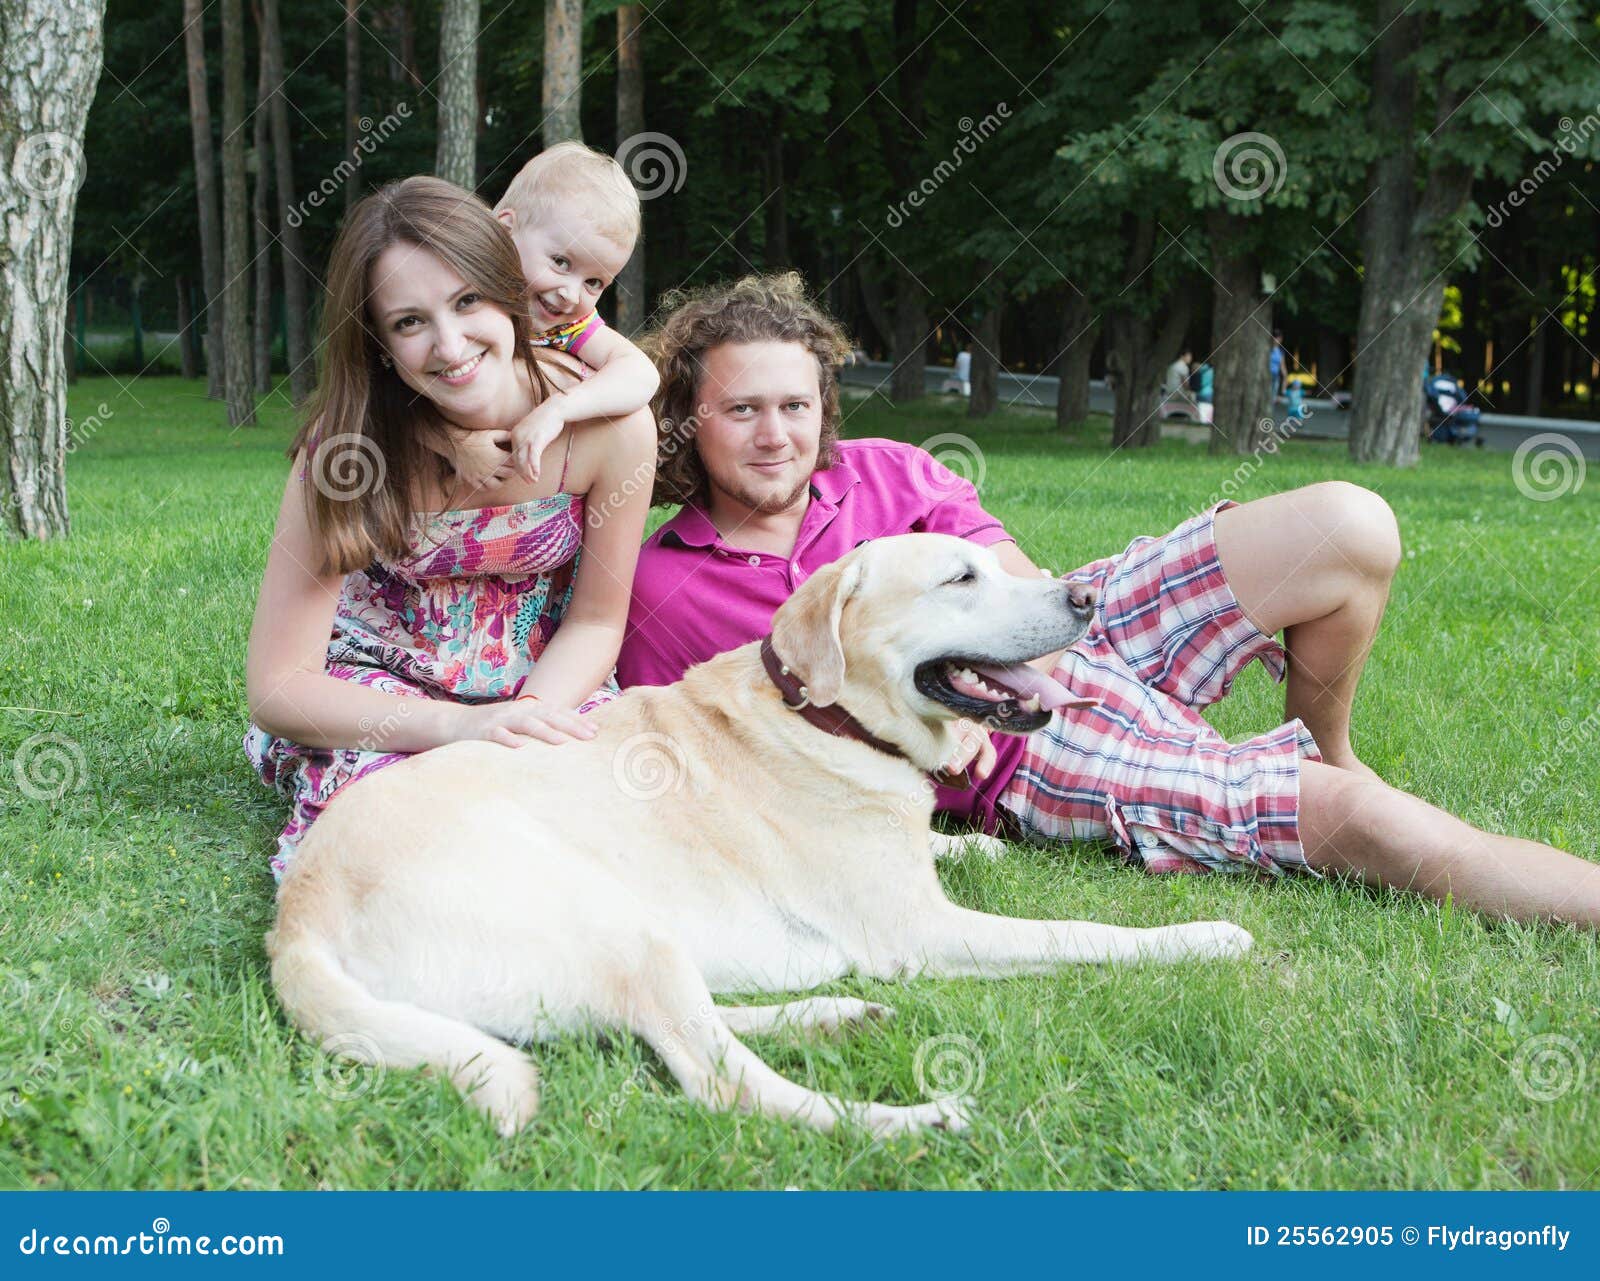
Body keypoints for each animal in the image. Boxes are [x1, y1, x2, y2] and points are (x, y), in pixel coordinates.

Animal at [272, 534, 1248, 1132]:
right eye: (959, 579)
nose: (1085, 597)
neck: (826, 714)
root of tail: (295, 921)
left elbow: (943, 842)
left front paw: (969, 841)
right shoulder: (924, 931)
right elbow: (1082, 931)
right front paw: (1201, 934)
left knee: (695, 1026)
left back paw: (832, 1015)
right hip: (608, 919)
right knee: (725, 1083)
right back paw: (907, 1119)